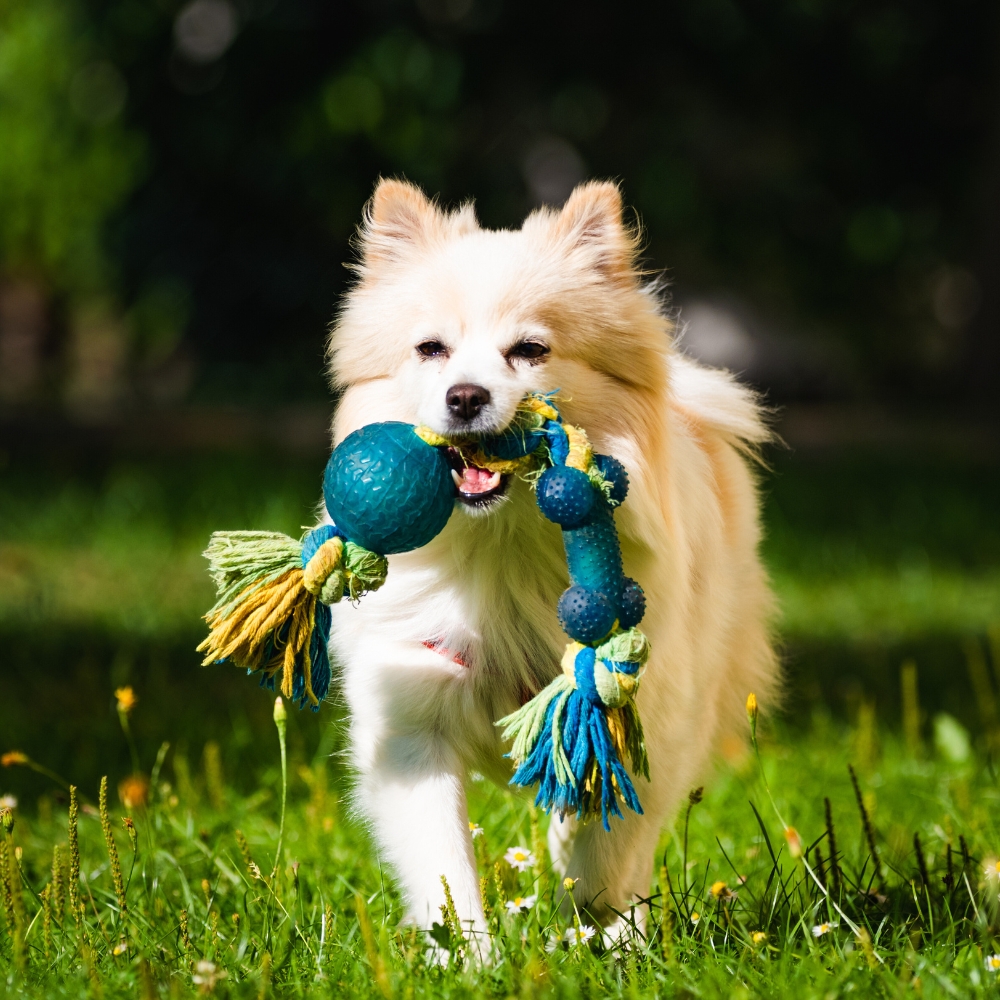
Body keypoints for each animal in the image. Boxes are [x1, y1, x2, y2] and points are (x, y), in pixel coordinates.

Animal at [324, 178, 776, 944]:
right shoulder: (412, 723)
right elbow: (444, 865)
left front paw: (594, 927)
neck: (500, 548)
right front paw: (468, 954)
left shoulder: (639, 714)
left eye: (529, 350)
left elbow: (604, 839)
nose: (465, 396)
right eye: (431, 350)